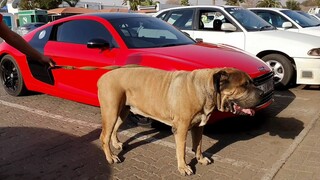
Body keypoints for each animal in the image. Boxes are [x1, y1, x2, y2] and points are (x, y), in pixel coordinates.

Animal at [97, 67, 262, 175]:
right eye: (244, 85)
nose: (262, 92)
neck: (204, 88)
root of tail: (103, 77)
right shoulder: (181, 128)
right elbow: (181, 149)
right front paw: (183, 167)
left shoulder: (198, 127)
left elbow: (198, 145)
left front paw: (200, 159)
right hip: (111, 111)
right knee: (104, 136)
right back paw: (111, 157)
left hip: (123, 111)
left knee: (114, 129)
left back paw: (116, 144)